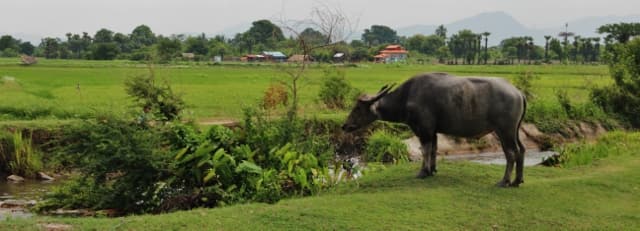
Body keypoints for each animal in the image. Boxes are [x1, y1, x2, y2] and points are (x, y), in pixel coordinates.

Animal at [342, 73, 528, 187]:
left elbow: (425, 150)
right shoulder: (433, 131)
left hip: (505, 131)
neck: (407, 97)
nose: (344, 126)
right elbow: (433, 149)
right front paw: (432, 170)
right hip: (515, 131)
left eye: (358, 108)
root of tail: (518, 92)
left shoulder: (424, 129)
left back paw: (504, 181)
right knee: (521, 150)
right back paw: (517, 181)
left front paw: (423, 172)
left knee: (511, 153)